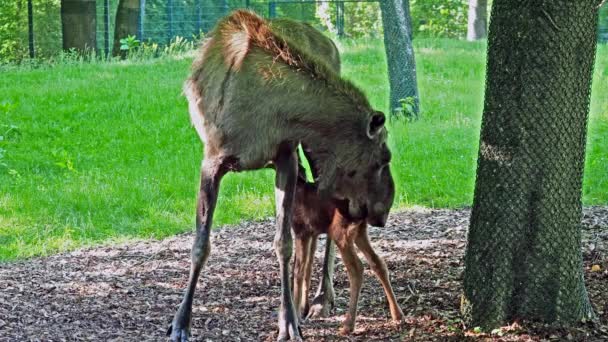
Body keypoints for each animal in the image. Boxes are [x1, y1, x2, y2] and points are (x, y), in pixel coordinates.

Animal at [169, 10, 392, 342]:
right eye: (383, 158)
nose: (383, 212)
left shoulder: (286, 157)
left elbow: (283, 243)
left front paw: (288, 321)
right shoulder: (211, 160)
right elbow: (200, 244)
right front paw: (181, 322)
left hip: (312, 153)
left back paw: (321, 299)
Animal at [290, 151, 404, 336]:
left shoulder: (301, 229)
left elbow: (298, 271)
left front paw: (296, 314)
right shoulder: (311, 231)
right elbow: (306, 267)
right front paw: (302, 310)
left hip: (341, 231)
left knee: (357, 268)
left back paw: (348, 325)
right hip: (360, 232)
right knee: (378, 262)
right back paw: (398, 315)